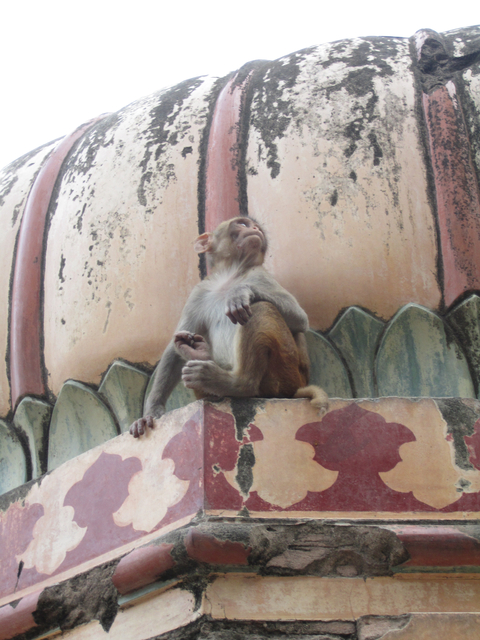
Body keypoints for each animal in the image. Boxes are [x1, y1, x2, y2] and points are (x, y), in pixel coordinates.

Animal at [130, 216, 328, 437]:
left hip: (286, 371)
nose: (255, 228)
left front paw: (240, 292)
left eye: (253, 226)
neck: (230, 275)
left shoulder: (260, 275)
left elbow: (300, 319)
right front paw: (151, 412)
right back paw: (200, 356)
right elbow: (174, 349)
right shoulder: (198, 293)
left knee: (259, 307)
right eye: (242, 224)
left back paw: (237, 384)